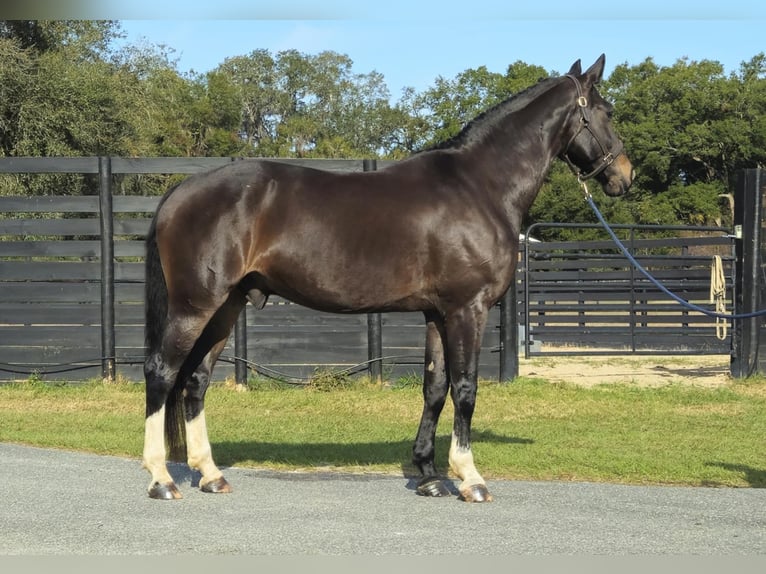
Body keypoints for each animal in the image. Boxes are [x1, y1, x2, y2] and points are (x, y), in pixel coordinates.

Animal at [142, 54, 634, 502]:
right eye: (607, 111)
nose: (625, 176)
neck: (480, 186)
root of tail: (179, 192)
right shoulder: (467, 310)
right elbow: (466, 388)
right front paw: (469, 478)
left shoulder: (437, 313)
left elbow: (435, 388)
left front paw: (429, 475)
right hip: (195, 306)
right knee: (162, 371)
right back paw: (162, 479)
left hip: (226, 306)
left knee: (196, 380)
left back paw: (210, 474)